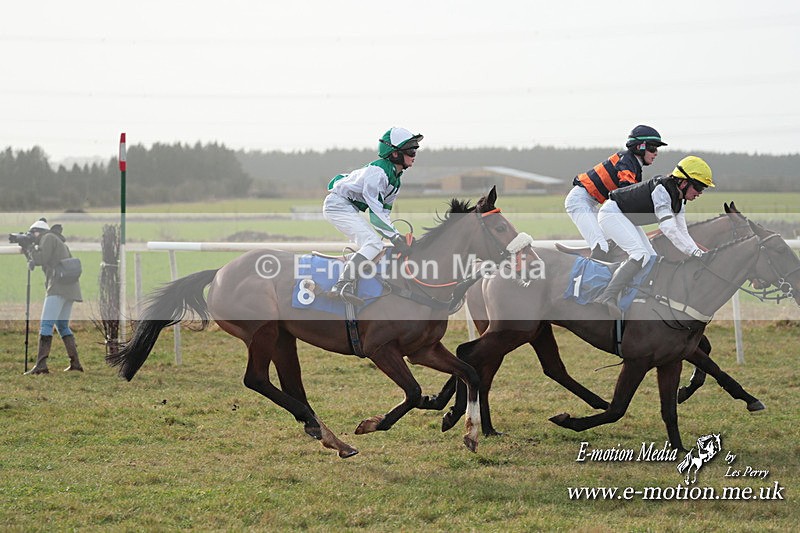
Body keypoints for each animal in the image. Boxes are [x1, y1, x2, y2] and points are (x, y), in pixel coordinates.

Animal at [107, 187, 524, 457]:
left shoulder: (423, 349)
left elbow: (468, 373)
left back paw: (325, 433)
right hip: (262, 332)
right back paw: (324, 429)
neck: (416, 280)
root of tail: (222, 271)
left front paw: (464, 428)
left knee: (291, 383)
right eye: (500, 228)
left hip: (283, 337)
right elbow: (412, 393)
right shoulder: (381, 350)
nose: (526, 256)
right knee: (256, 380)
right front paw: (373, 423)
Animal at [443, 215, 800, 451]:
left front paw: (681, 447)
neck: (683, 287)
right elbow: (618, 409)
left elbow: (674, 404)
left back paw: (481, 424)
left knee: (533, 367)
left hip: (527, 330)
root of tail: (494, 266)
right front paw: (569, 420)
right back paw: (459, 416)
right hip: (512, 329)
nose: (797, 283)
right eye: (781, 251)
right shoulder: (637, 359)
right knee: (469, 356)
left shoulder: (672, 358)